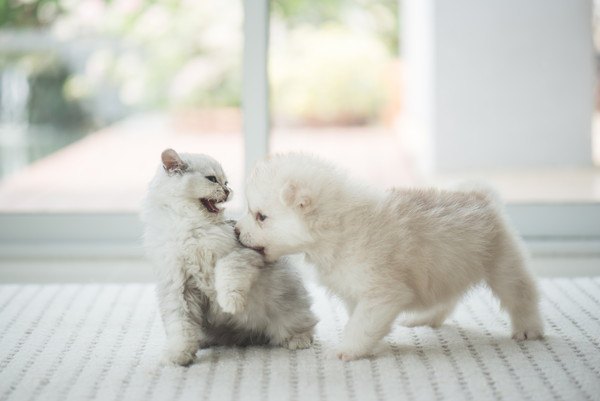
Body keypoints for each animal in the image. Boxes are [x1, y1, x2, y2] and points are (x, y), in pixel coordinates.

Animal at [141, 148, 318, 364]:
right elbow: (181, 328)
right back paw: (204, 342)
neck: (189, 227)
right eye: (212, 179)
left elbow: (226, 278)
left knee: (305, 326)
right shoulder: (178, 286)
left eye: (225, 182)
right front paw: (179, 356)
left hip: (290, 311)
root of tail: (245, 336)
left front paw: (230, 305)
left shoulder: (239, 254)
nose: (227, 191)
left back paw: (298, 341)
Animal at [237, 152, 548, 360]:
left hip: (503, 264)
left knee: (522, 295)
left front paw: (348, 350)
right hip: (448, 268)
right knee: (447, 300)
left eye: (261, 216)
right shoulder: (356, 292)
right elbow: (360, 320)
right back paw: (425, 319)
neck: (336, 226)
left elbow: (361, 324)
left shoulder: (381, 292)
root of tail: (482, 197)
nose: (237, 231)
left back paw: (528, 330)